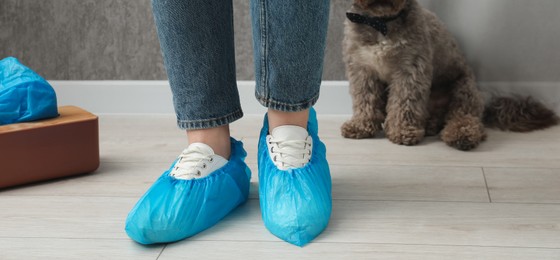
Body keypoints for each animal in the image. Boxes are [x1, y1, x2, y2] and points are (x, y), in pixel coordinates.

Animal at [344, 0, 556, 150]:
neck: (380, 22)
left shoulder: (410, 70)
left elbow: (405, 104)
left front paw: (402, 130)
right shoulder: (362, 69)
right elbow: (365, 101)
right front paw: (360, 126)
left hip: (463, 90)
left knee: (466, 119)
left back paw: (460, 136)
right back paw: (430, 125)